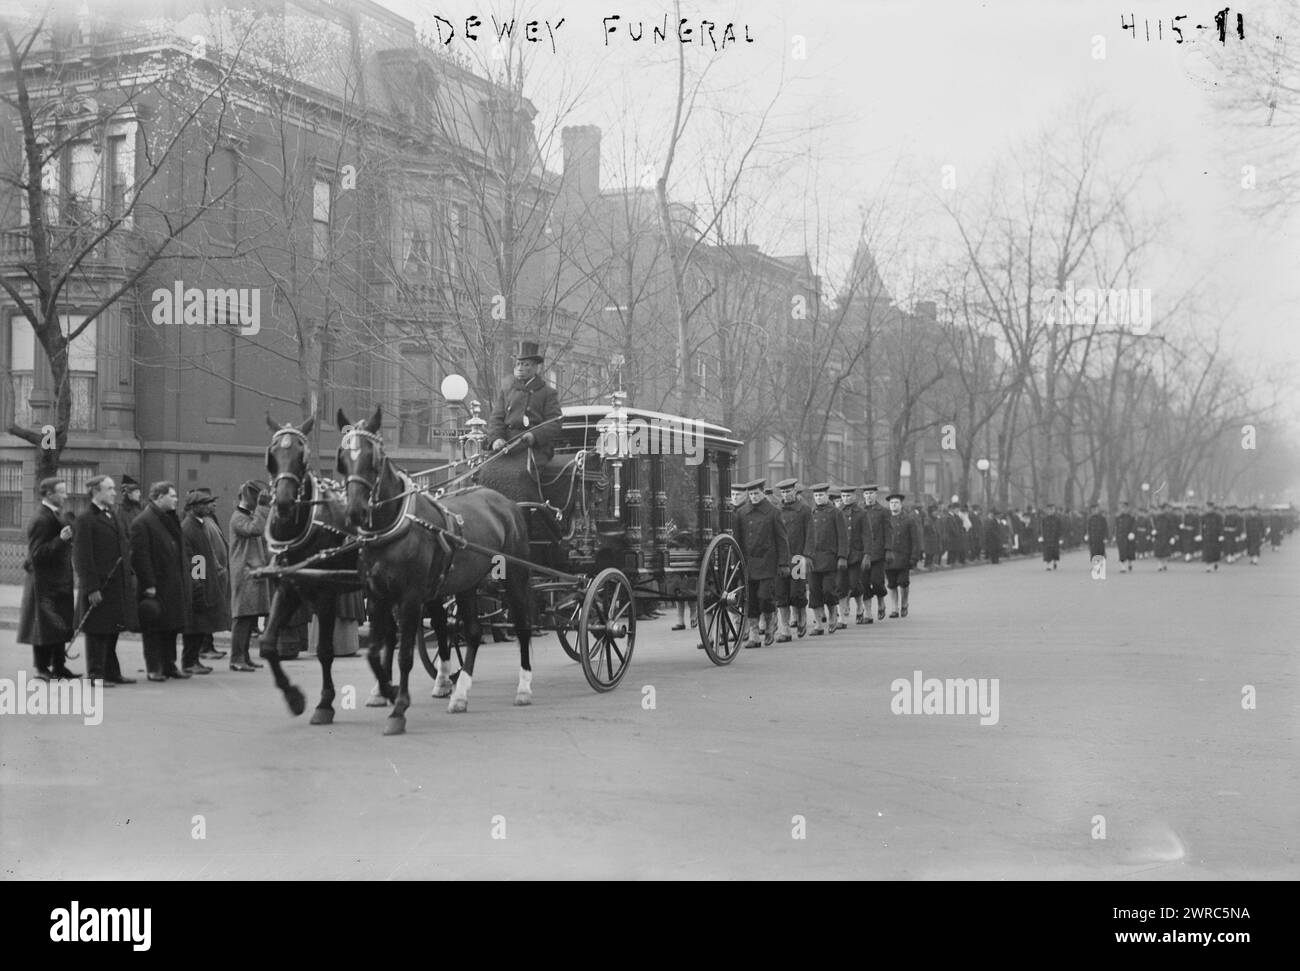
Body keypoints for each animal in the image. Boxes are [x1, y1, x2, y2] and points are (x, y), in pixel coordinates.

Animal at [258, 413, 390, 727]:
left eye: (301, 456)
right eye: (272, 456)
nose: (283, 502)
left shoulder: (326, 593)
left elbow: (325, 651)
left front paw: (324, 704)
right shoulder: (289, 586)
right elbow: (267, 644)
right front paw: (293, 697)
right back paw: (382, 691)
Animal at [340, 405, 538, 738]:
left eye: (373, 458)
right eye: (343, 459)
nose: (355, 511)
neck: (393, 529)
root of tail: (507, 503)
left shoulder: (410, 598)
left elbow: (405, 654)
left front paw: (399, 708)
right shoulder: (377, 597)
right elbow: (377, 650)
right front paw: (386, 690)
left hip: (515, 577)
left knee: (522, 627)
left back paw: (523, 687)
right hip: (467, 584)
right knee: (471, 633)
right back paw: (460, 693)